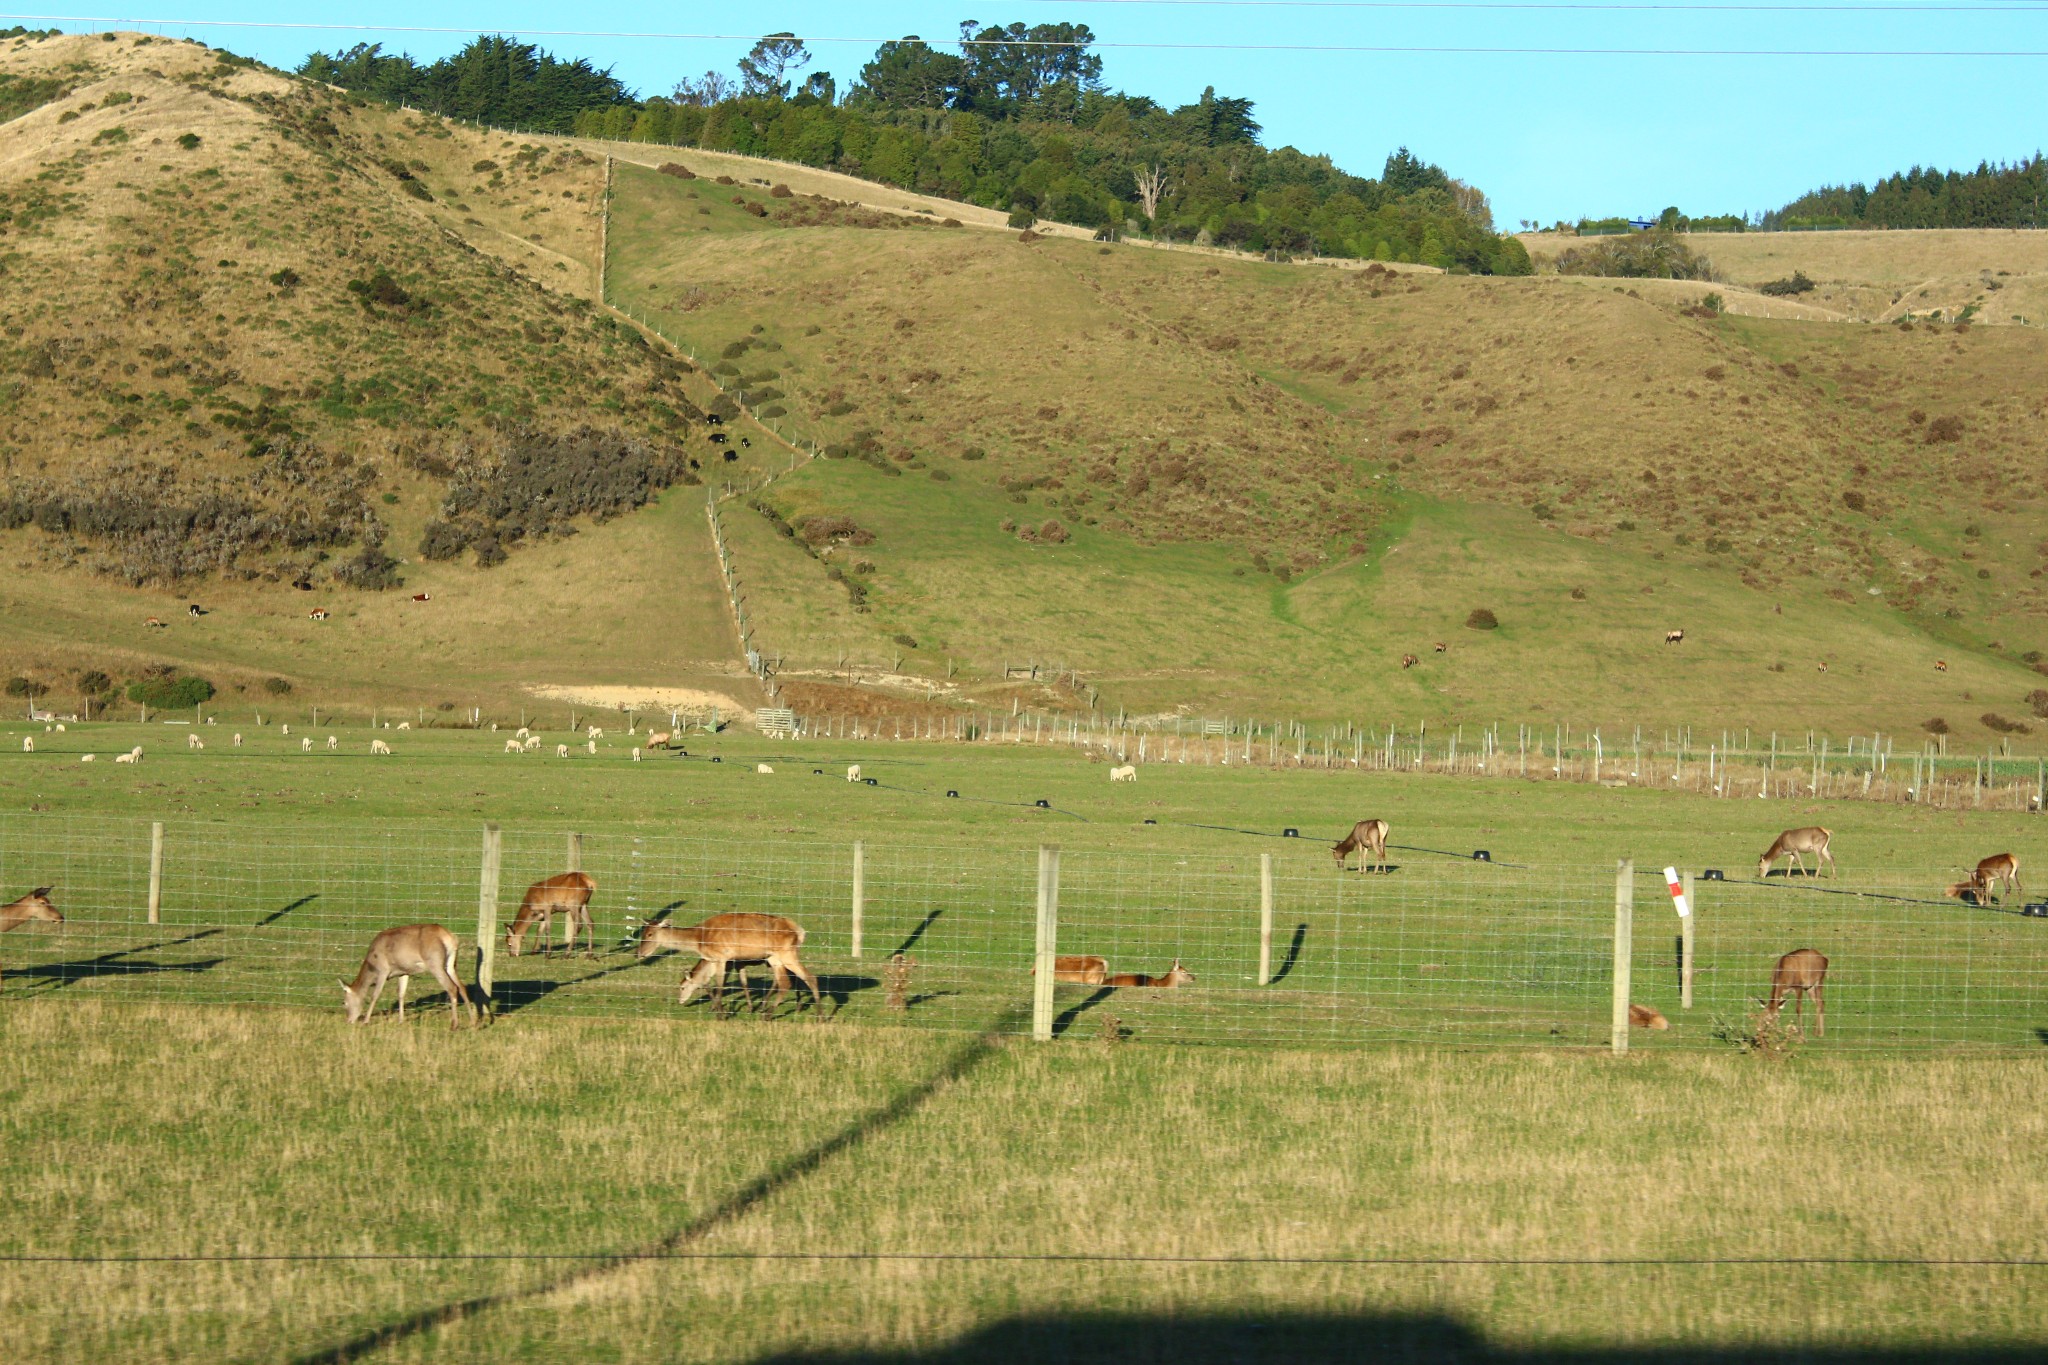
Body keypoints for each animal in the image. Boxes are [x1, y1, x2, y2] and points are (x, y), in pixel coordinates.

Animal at [339, 925, 475, 1031]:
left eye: (344, 1002)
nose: (348, 1021)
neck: (372, 967)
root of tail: (450, 938)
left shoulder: (383, 971)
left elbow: (375, 995)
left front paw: (365, 1021)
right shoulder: (403, 972)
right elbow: (401, 994)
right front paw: (400, 1021)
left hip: (435, 963)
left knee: (452, 987)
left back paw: (454, 1025)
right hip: (451, 964)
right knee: (461, 987)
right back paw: (473, 1021)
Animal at [630, 912, 815, 1010]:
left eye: (649, 934)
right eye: (642, 932)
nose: (637, 953)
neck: (699, 939)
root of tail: (801, 931)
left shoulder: (723, 957)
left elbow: (719, 984)